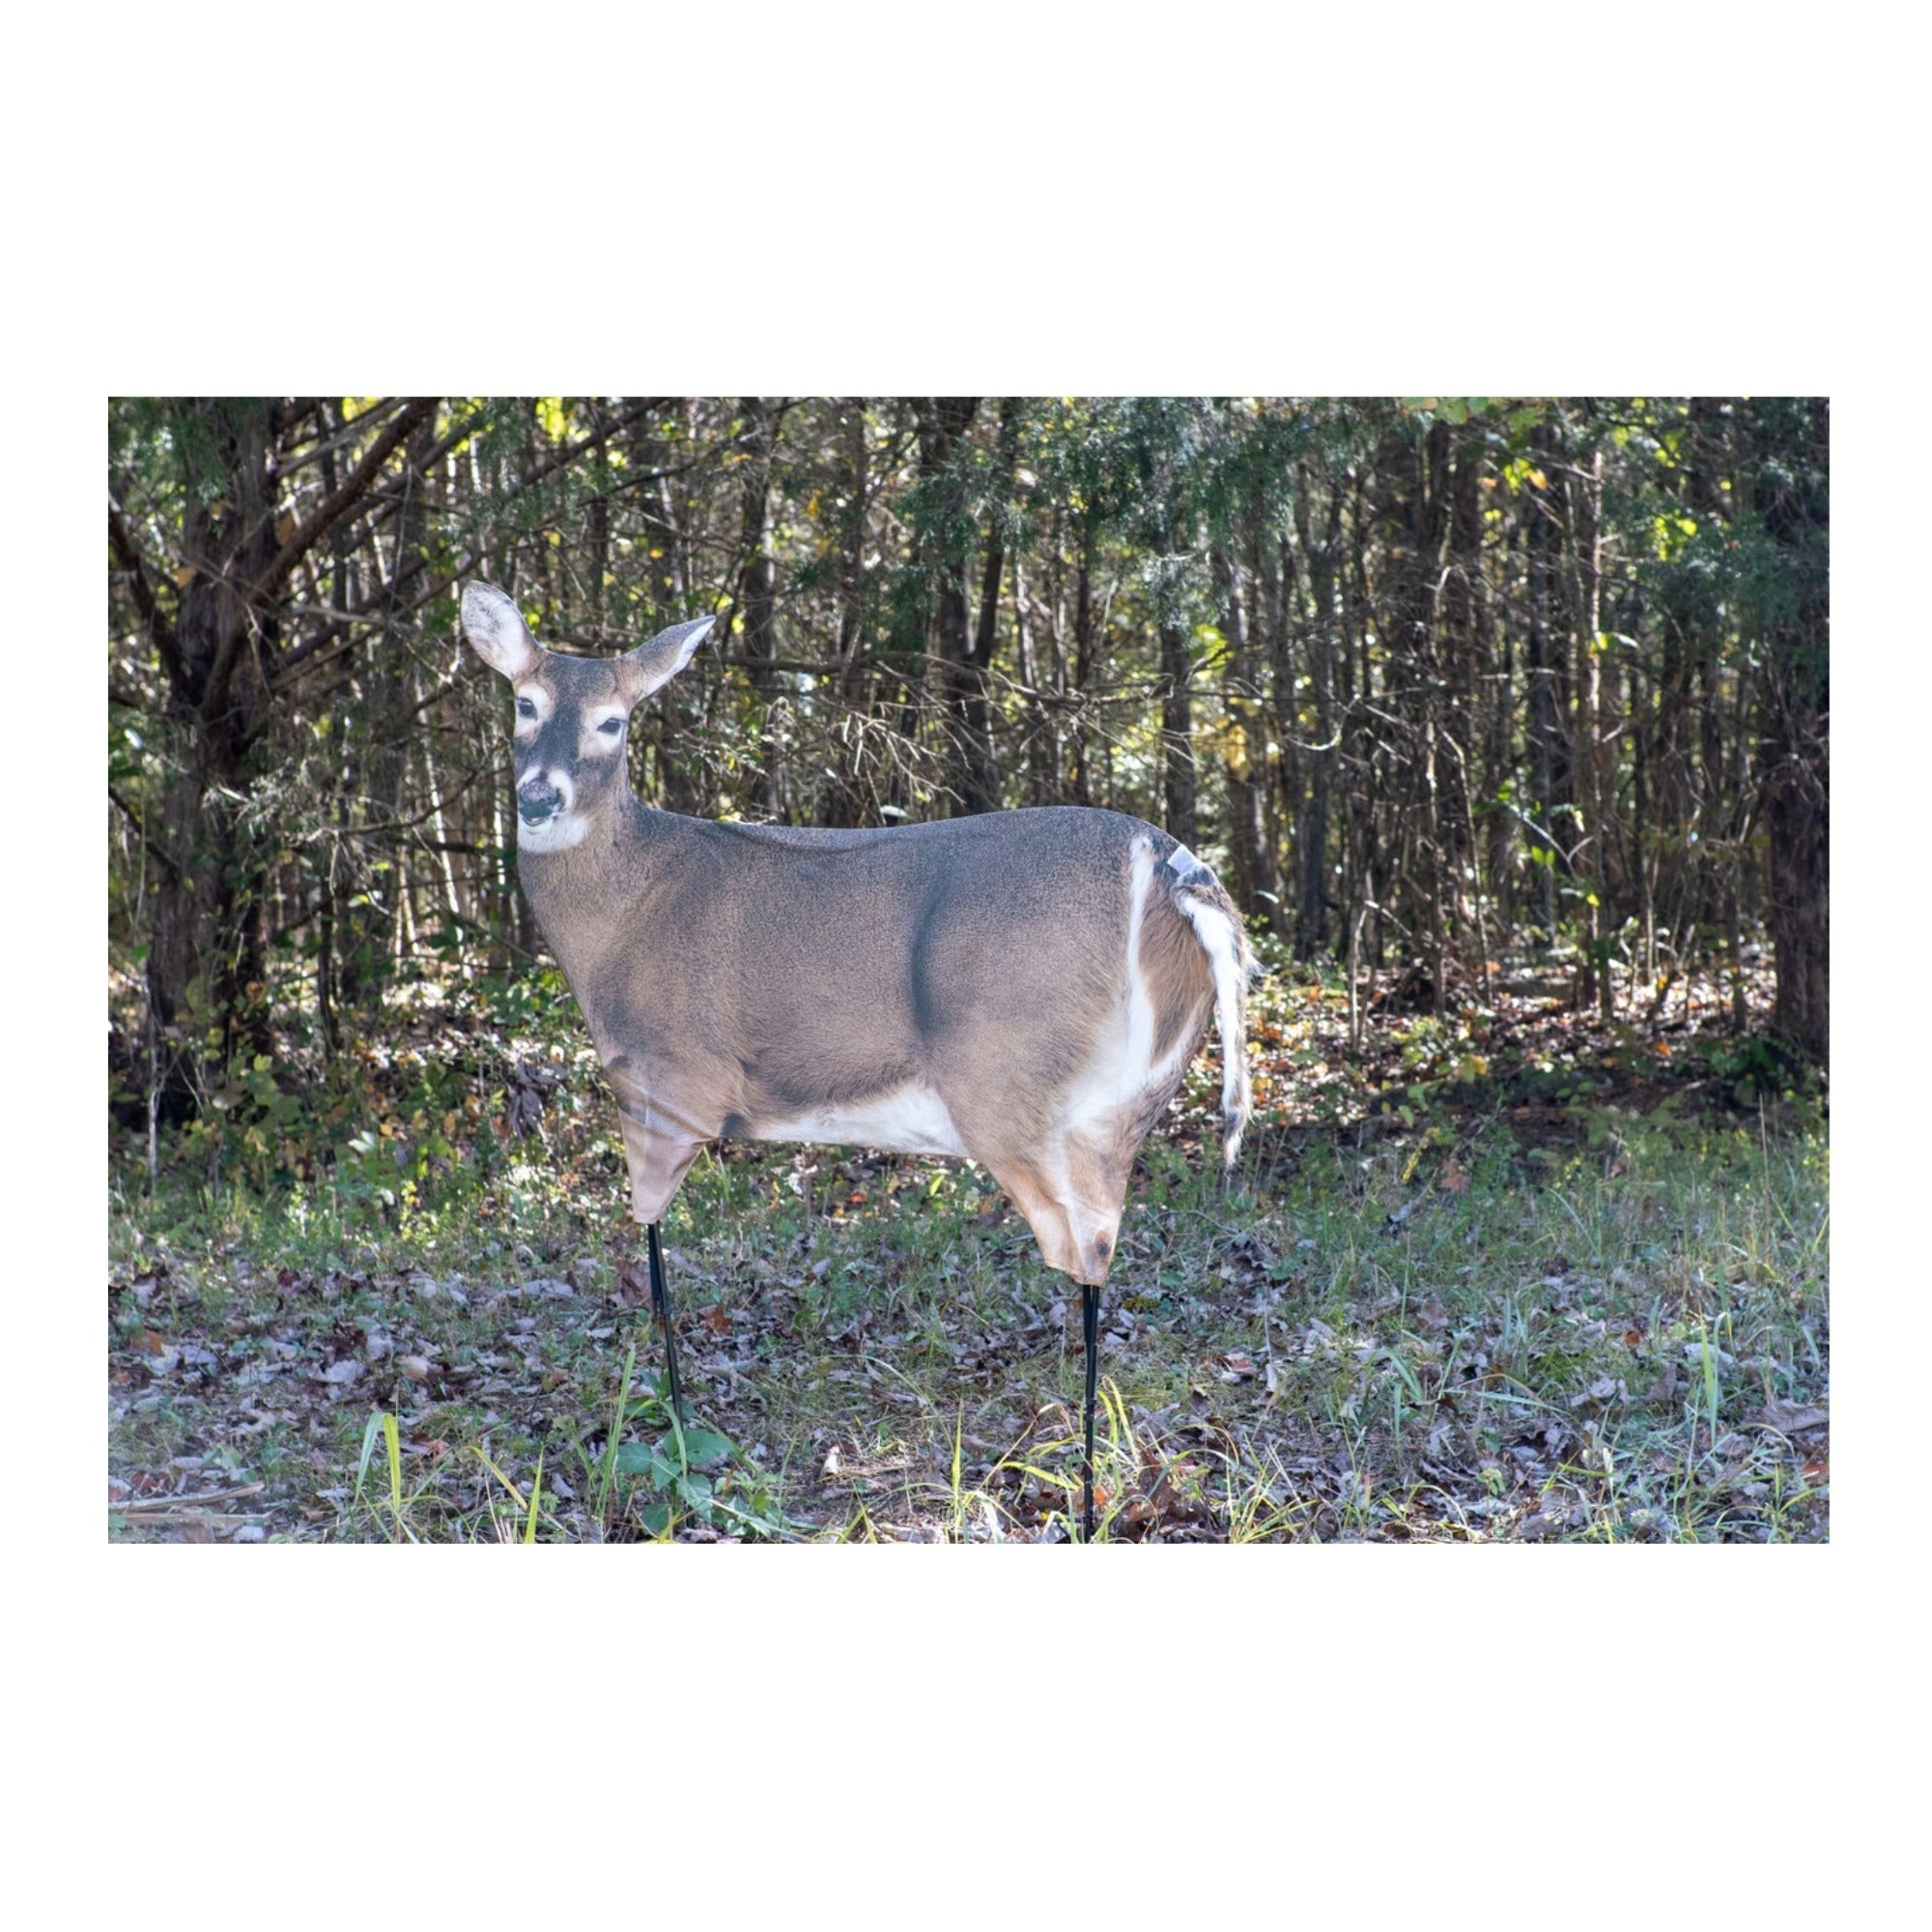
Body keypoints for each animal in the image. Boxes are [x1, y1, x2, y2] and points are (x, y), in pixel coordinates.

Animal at [460, 579, 1252, 1539]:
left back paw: (1087, 1491)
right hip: (1129, 1095)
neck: (621, 912)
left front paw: (680, 1455)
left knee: (1088, 1250)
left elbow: (653, 1269)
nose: (540, 796)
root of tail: (1177, 871)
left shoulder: (665, 1076)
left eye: (614, 721)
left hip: (1014, 1081)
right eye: (525, 702)